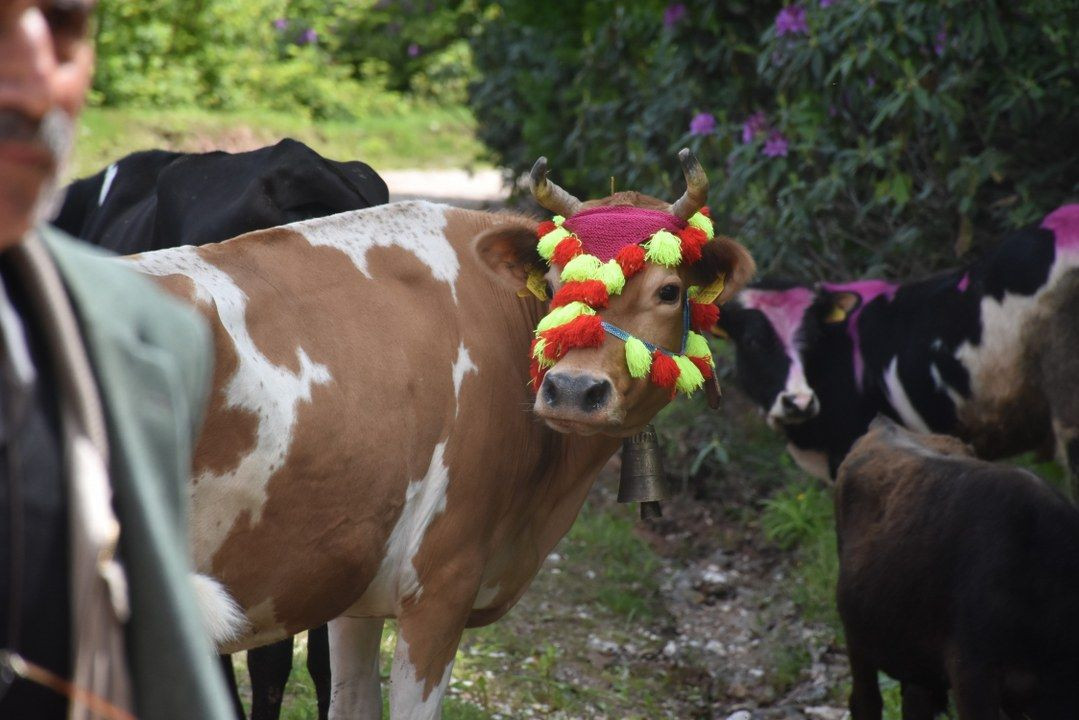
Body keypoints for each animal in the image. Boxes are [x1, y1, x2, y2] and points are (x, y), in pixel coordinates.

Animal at [126, 153, 755, 720]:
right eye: (554, 285)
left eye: (670, 291)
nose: (573, 389)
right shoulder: (441, 585)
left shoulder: (355, 588)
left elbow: (351, 706)